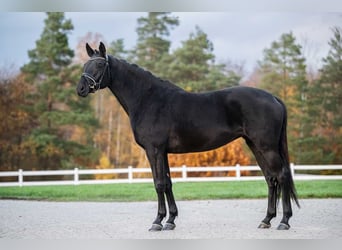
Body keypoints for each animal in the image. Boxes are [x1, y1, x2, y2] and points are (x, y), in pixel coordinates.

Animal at [76, 42, 298, 231]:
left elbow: (159, 183)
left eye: (99, 64)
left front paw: (157, 221)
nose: (81, 89)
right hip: (255, 145)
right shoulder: (162, 152)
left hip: (267, 147)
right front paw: (170, 220)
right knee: (271, 178)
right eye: (85, 64)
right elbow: (167, 183)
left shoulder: (154, 150)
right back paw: (266, 220)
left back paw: (284, 221)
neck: (148, 99)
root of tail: (274, 98)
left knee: (282, 175)